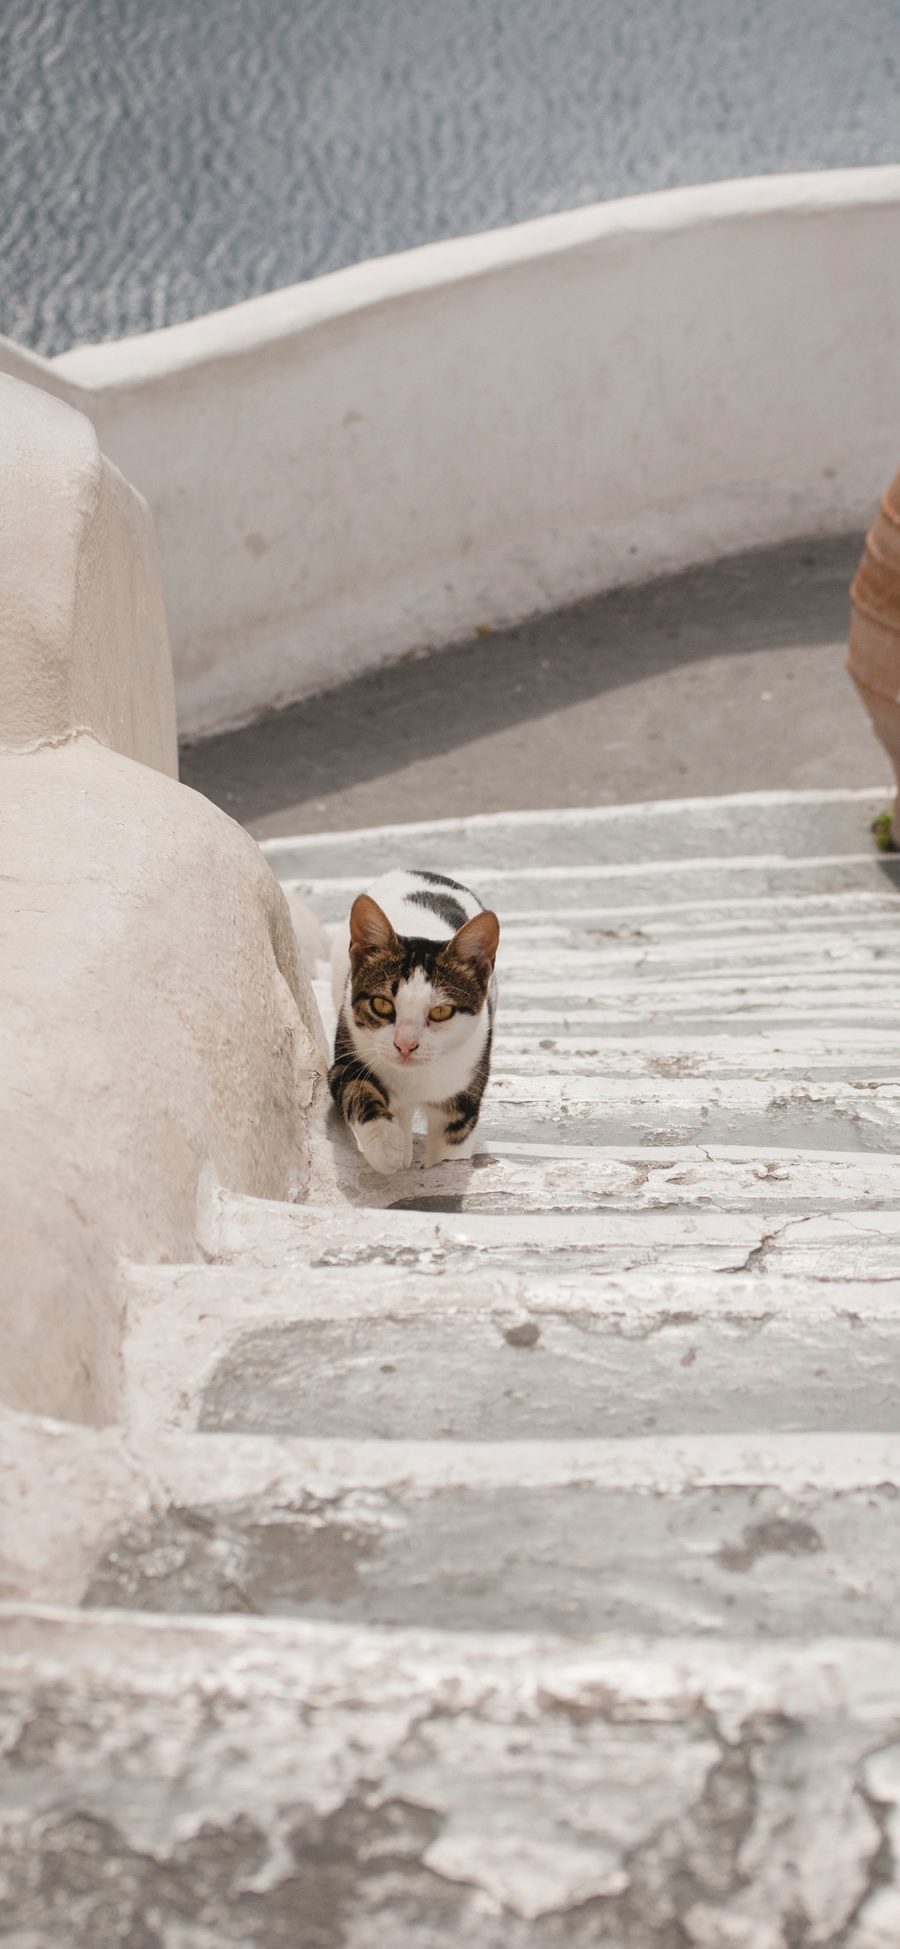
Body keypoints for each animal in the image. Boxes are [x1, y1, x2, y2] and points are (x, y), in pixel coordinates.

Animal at [331, 869, 498, 1169]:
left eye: (441, 1012)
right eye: (381, 1004)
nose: (405, 1045)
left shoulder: (465, 1093)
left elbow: (451, 1147)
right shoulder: (347, 1055)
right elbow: (357, 1088)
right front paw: (386, 1147)